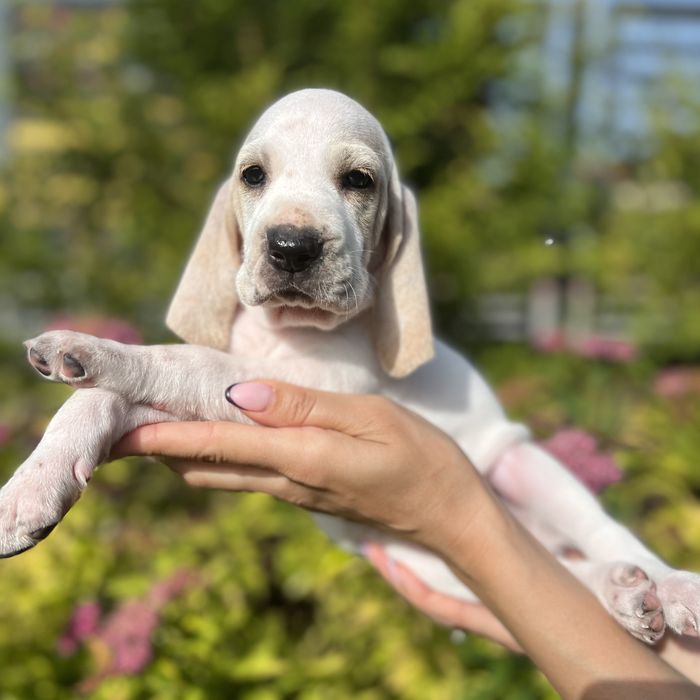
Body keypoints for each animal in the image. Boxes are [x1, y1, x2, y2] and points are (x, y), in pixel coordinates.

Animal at [1, 90, 700, 644]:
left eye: (359, 181)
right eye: (253, 175)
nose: (291, 246)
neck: (287, 334)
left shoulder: (297, 388)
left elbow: (180, 358)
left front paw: (93, 350)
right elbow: (104, 397)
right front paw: (31, 489)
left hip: (528, 467)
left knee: (604, 530)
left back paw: (666, 586)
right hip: (437, 562)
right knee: (558, 572)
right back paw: (623, 592)